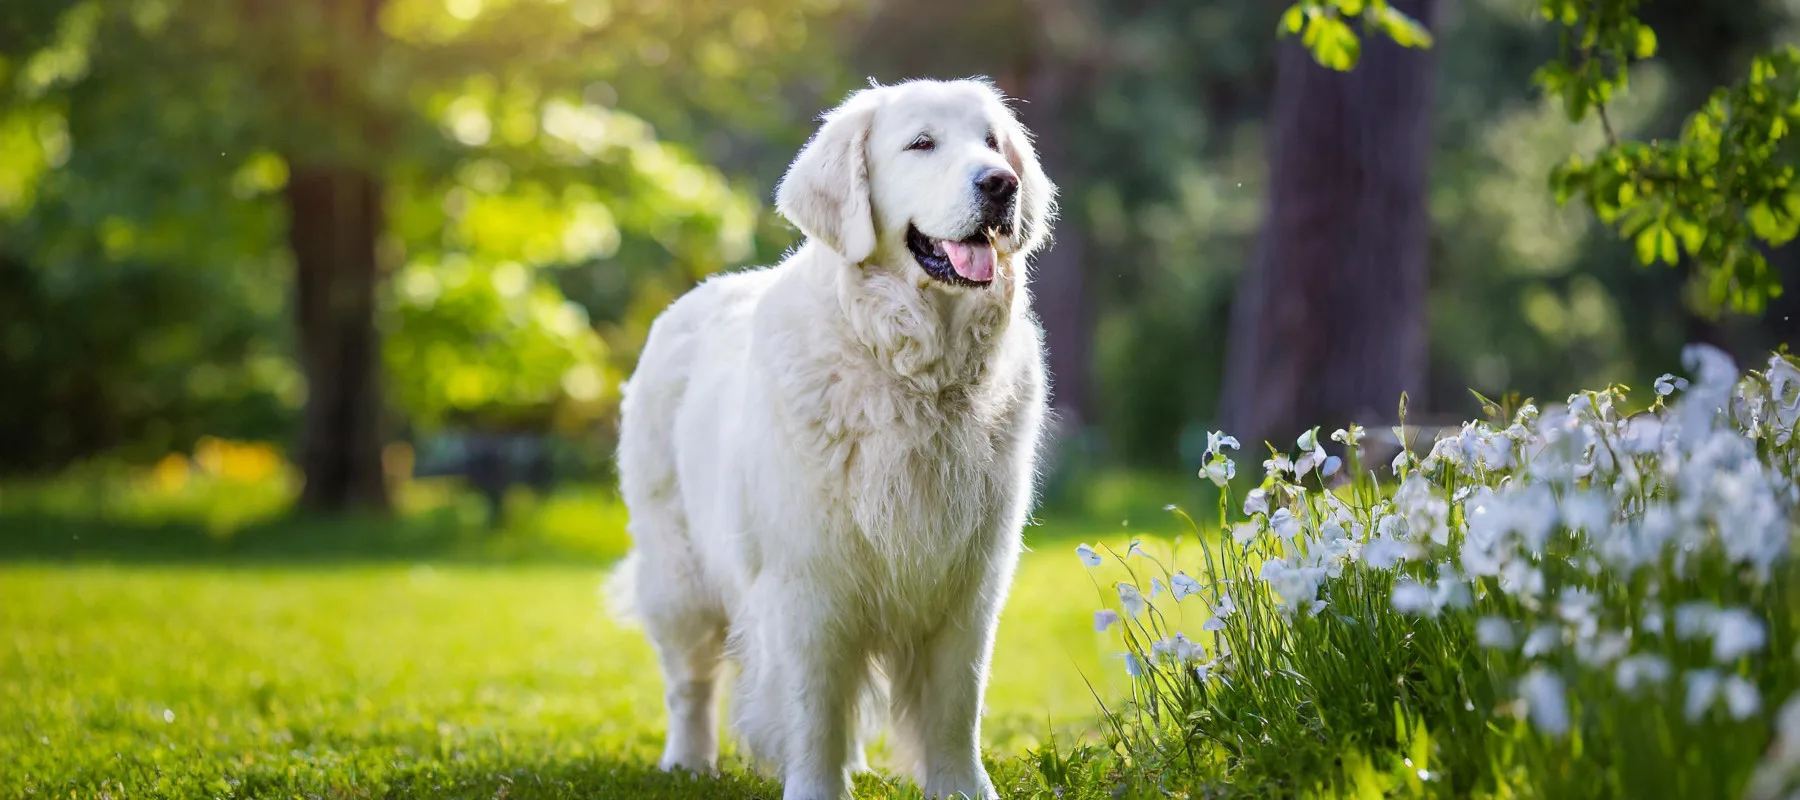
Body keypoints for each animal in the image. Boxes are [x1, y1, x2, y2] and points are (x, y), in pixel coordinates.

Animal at [612, 79, 1051, 800]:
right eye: (921, 144)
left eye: (992, 142)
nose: (1001, 183)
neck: (909, 371)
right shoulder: (810, 582)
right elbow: (814, 705)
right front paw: (816, 785)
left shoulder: (971, 580)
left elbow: (956, 702)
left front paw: (962, 787)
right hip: (678, 573)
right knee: (689, 682)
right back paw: (687, 761)